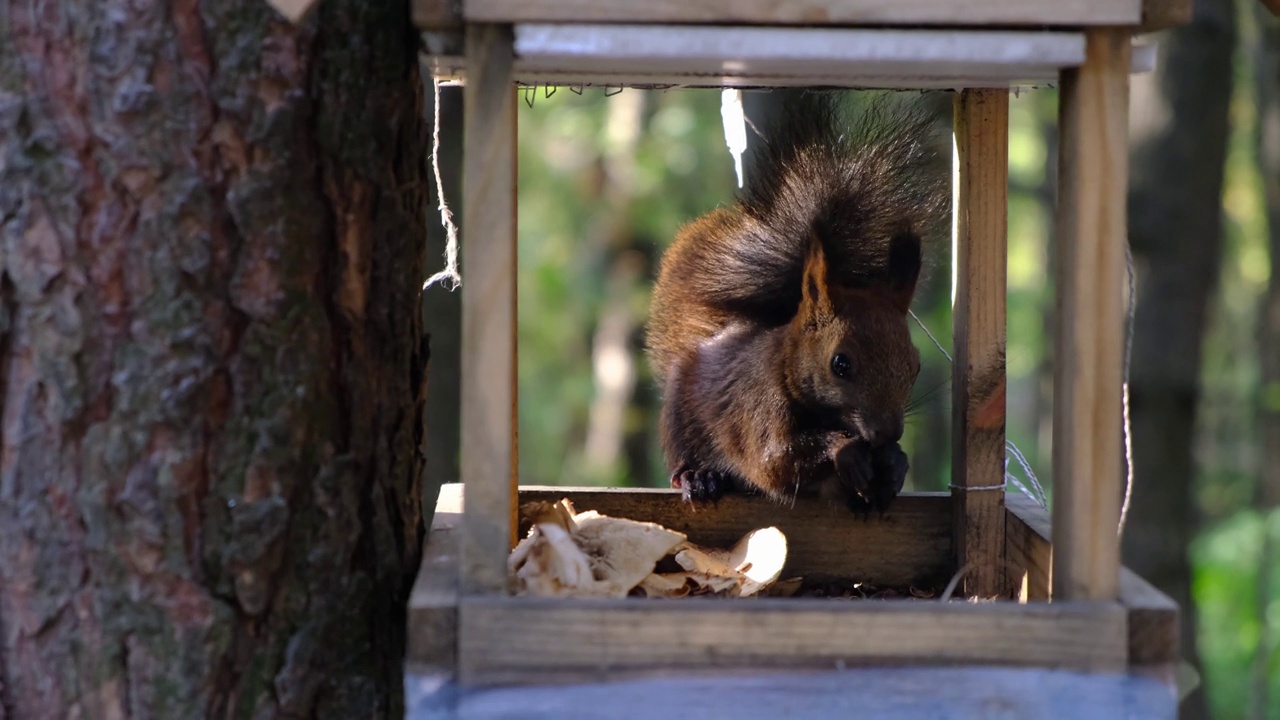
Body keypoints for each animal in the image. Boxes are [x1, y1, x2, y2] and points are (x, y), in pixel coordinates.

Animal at [645, 94, 947, 509]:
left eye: (915, 366)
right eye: (840, 364)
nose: (886, 434)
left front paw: (894, 463)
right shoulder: (758, 407)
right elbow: (775, 459)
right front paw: (847, 452)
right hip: (679, 419)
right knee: (686, 460)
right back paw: (699, 477)